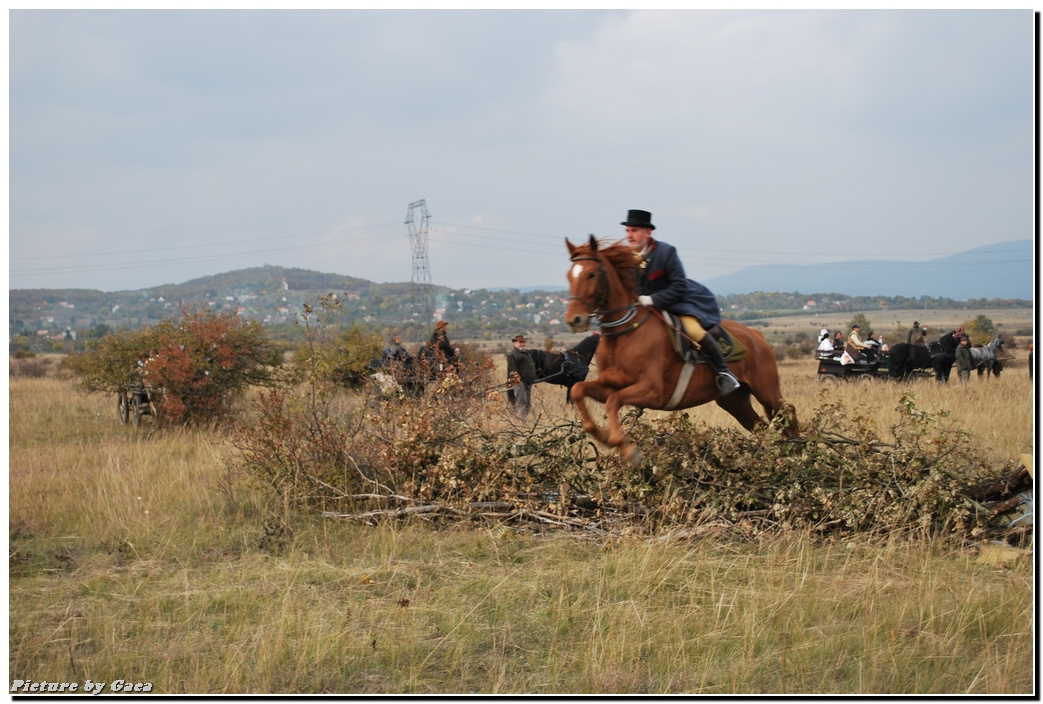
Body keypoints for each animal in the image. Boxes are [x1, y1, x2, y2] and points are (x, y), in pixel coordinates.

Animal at [567, 236, 792, 467]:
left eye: (591, 274)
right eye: (569, 275)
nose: (574, 320)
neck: (624, 334)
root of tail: (756, 334)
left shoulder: (653, 391)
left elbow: (613, 401)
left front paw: (628, 451)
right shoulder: (610, 384)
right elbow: (579, 390)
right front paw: (604, 436)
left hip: (765, 390)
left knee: (787, 411)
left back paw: (797, 448)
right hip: (734, 401)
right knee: (760, 427)